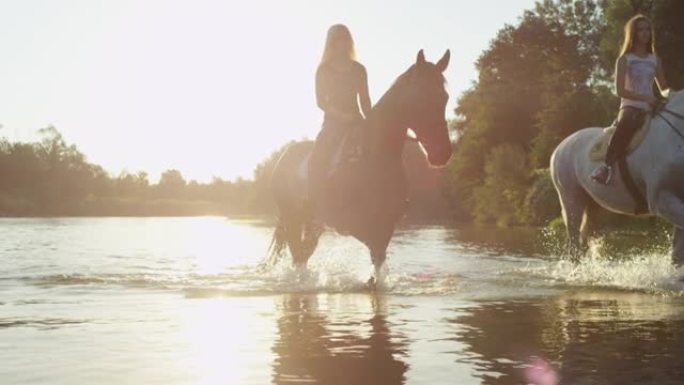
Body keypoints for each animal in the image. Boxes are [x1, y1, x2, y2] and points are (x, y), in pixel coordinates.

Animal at [268, 50, 454, 282]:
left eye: (444, 98)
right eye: (421, 98)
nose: (442, 153)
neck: (374, 159)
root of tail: (283, 157)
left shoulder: (386, 226)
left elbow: (379, 263)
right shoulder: (354, 225)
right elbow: (375, 254)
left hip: (313, 224)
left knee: (303, 254)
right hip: (293, 218)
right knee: (298, 256)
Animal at [552, 89, 684, 262]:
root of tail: (560, 147)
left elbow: (677, 256)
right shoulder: (662, 200)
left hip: (593, 205)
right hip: (571, 200)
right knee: (574, 248)